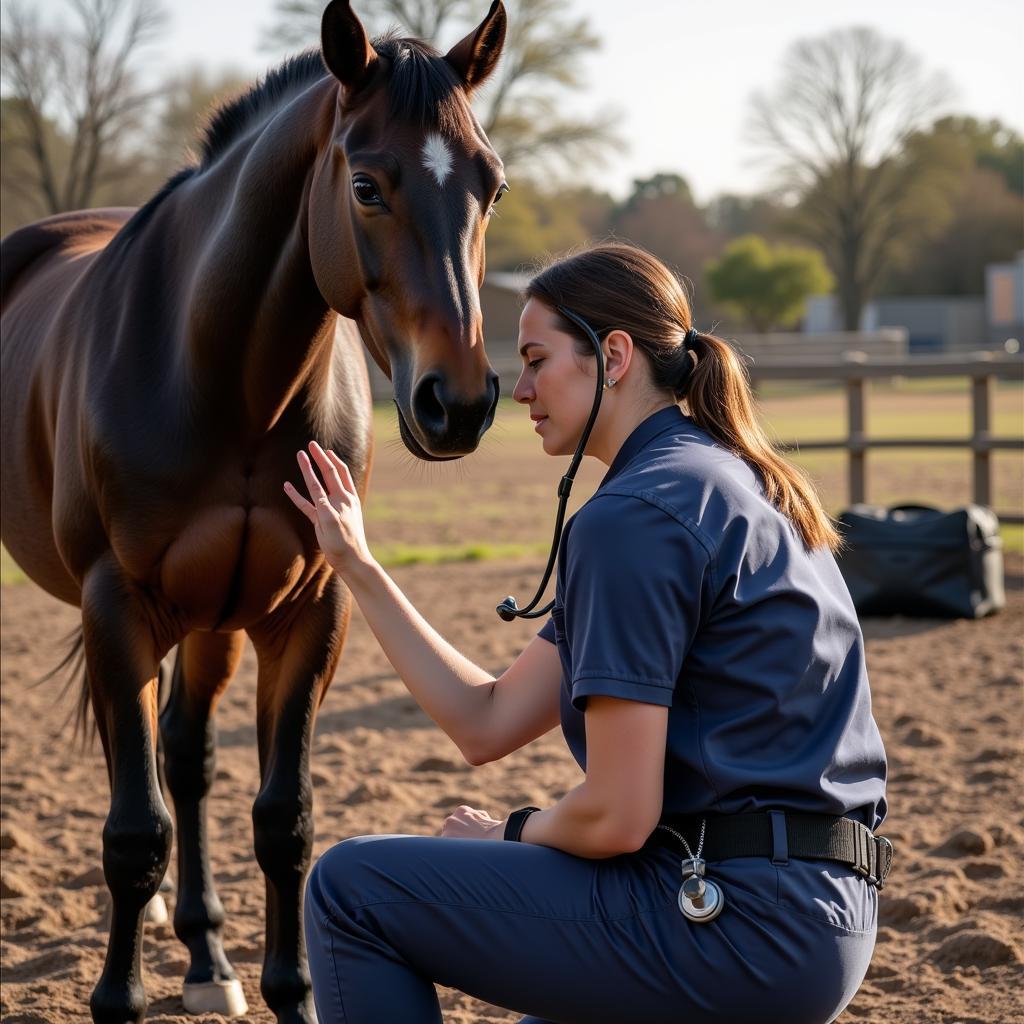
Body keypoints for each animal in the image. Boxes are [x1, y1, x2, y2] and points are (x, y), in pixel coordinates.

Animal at [0, 4, 512, 1019]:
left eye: (494, 186)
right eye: (367, 185)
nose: (461, 403)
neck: (224, 379)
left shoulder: (310, 608)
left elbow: (283, 819)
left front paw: (290, 991)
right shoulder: (117, 606)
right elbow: (134, 830)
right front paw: (117, 997)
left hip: (213, 622)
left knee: (184, 754)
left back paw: (206, 957)